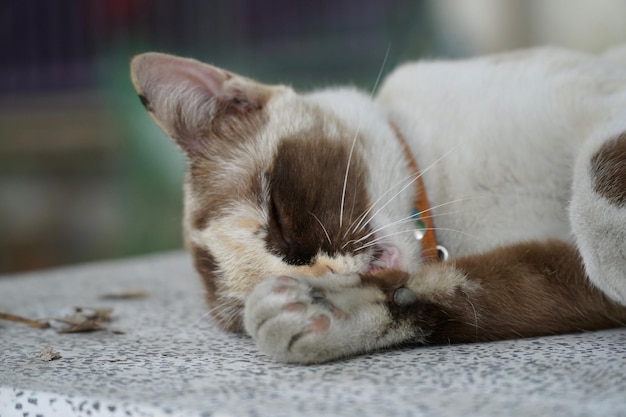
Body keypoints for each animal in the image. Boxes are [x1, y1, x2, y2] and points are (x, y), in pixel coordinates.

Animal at [129, 45, 624, 362]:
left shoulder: (601, 101)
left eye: (280, 219)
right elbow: (446, 290)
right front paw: (323, 310)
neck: (448, 202)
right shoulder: (571, 281)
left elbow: (596, 201)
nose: (325, 273)